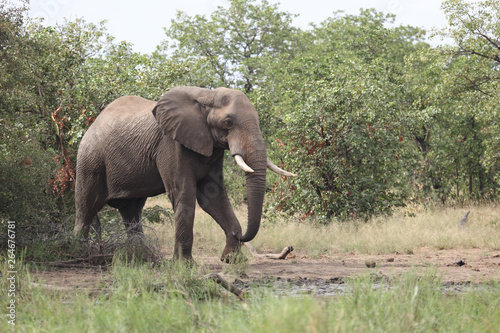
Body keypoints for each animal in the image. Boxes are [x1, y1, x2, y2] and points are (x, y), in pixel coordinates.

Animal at [72, 86, 294, 262]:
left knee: (131, 211)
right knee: (86, 208)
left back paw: (143, 257)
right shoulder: (170, 144)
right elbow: (184, 193)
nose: (239, 234)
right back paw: (78, 253)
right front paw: (185, 265)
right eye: (228, 122)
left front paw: (232, 260)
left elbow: (213, 197)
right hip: (90, 161)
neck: (207, 96)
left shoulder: (212, 147)